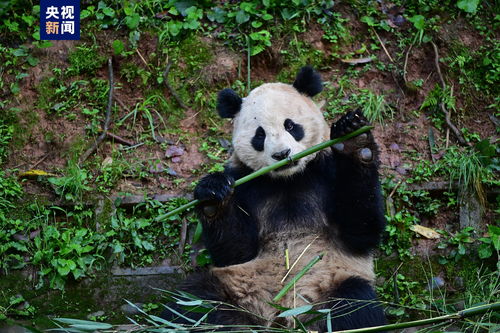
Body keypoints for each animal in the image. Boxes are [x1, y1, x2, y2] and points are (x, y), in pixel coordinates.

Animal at [163, 66, 386, 330]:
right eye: (259, 135)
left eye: (291, 126)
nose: (282, 154)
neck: (288, 180)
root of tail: (283, 316)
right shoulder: (245, 183)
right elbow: (235, 251)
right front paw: (212, 197)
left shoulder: (325, 171)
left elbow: (360, 230)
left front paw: (354, 140)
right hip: (237, 286)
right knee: (194, 303)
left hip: (330, 283)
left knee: (354, 305)